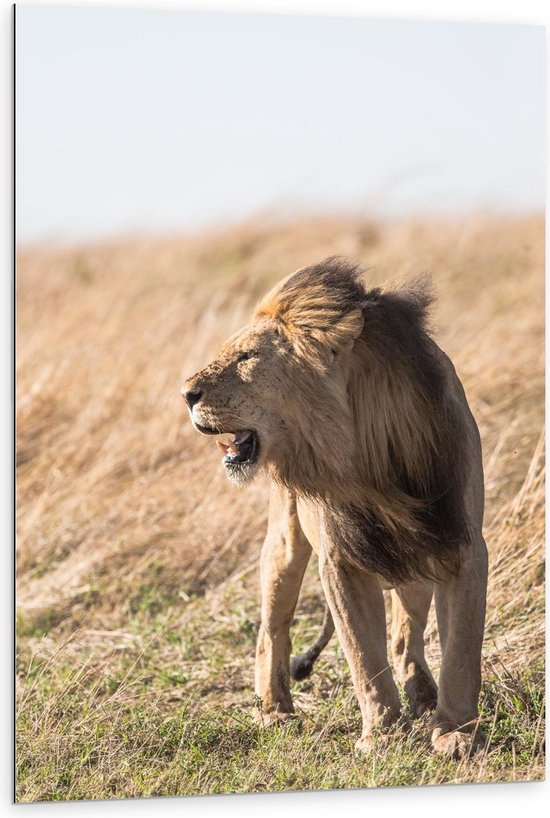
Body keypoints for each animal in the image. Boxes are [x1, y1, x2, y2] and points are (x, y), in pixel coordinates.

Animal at [183, 258, 490, 756]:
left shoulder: (458, 543)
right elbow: (363, 656)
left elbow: (461, 649)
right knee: (272, 629)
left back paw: (423, 693)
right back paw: (274, 710)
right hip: (285, 542)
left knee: (405, 632)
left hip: (414, 556)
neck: (368, 455)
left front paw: (456, 734)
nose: (185, 394)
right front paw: (381, 737)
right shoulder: (341, 560)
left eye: (246, 357)